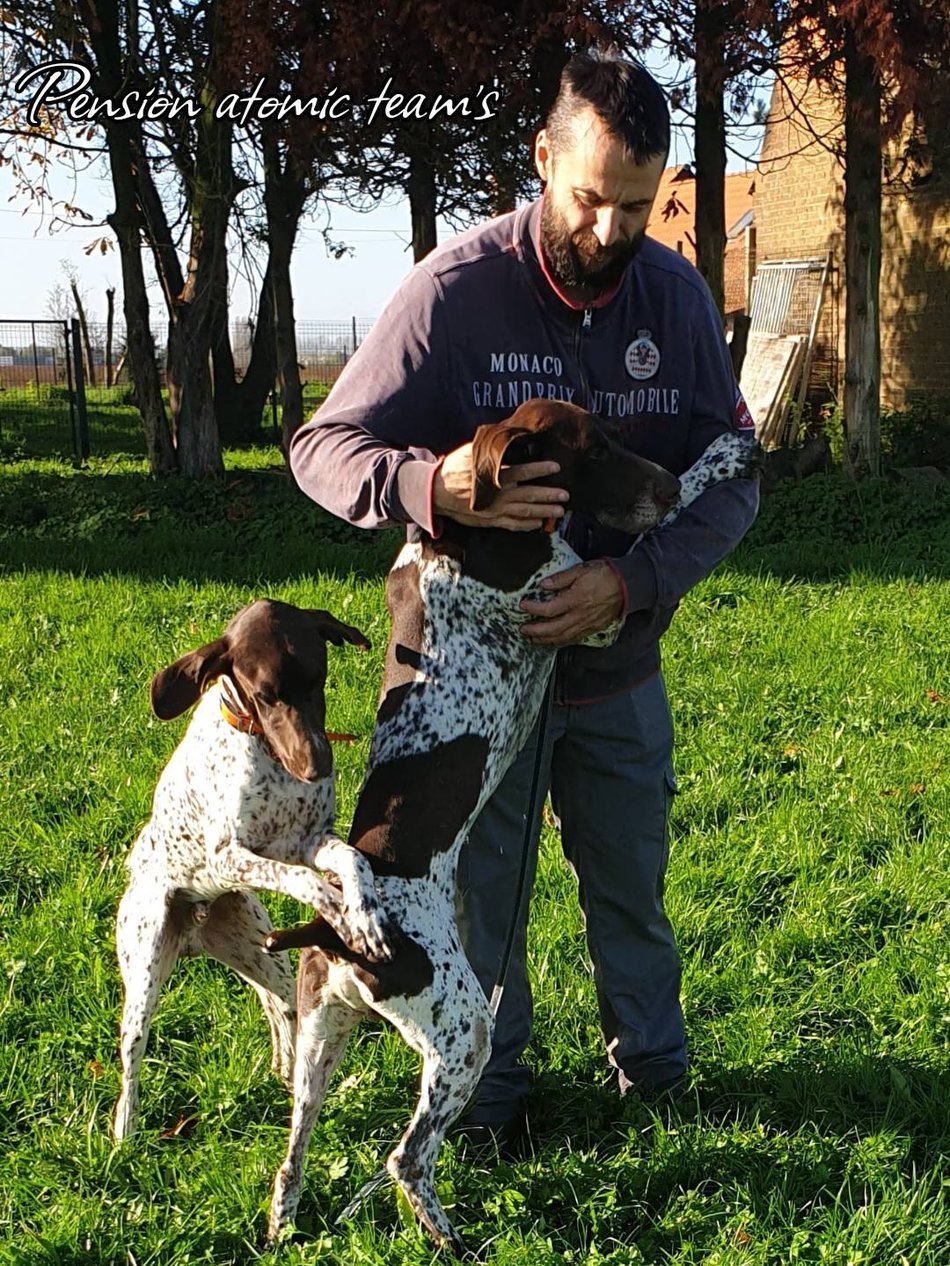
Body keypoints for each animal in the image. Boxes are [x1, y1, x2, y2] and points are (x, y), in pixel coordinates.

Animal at [112, 599, 393, 1142]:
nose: (317, 766)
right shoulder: (233, 856)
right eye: (265, 695)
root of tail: (194, 928)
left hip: (259, 950)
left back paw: (286, 1070)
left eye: (319, 679)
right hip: (144, 969)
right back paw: (123, 1130)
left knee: (278, 1006)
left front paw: (364, 915)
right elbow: (307, 882)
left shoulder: (307, 841)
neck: (264, 751)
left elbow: (352, 860)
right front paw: (340, 911)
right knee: (132, 1052)